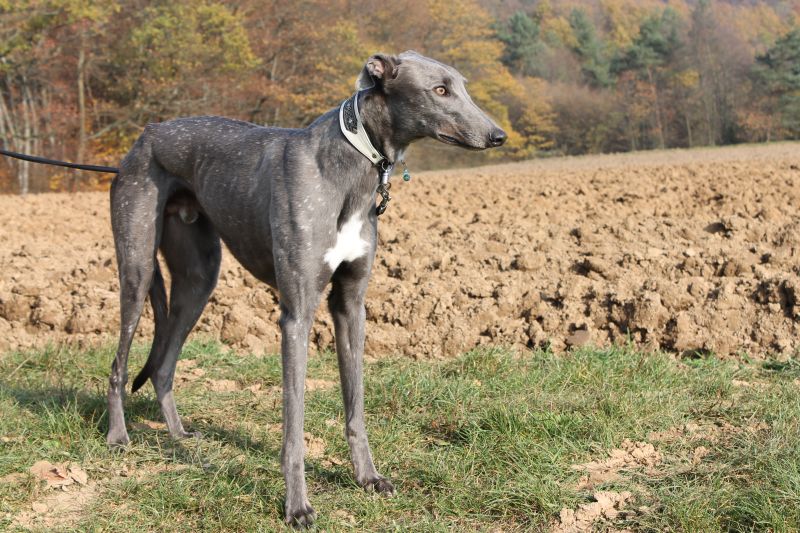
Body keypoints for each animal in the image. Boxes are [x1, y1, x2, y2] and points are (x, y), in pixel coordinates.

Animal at [107, 50, 506, 527]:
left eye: (462, 86)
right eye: (440, 90)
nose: (498, 135)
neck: (350, 165)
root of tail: (146, 133)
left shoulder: (350, 305)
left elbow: (355, 408)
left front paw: (368, 478)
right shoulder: (296, 314)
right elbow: (293, 427)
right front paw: (297, 505)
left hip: (198, 279)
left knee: (164, 366)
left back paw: (179, 435)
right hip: (137, 266)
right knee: (119, 365)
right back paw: (117, 437)